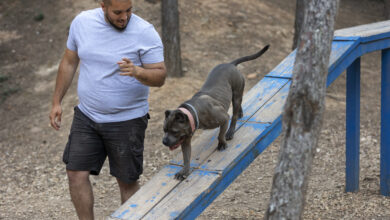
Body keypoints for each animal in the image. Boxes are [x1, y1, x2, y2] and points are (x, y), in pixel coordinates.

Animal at [161, 44, 268, 179]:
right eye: (164, 130)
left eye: (174, 131)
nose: (164, 141)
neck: (194, 112)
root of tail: (230, 64)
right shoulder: (185, 140)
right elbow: (186, 157)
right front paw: (184, 171)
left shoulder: (224, 118)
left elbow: (220, 134)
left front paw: (222, 143)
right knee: (238, 108)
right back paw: (240, 113)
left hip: (236, 94)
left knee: (234, 116)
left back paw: (230, 131)